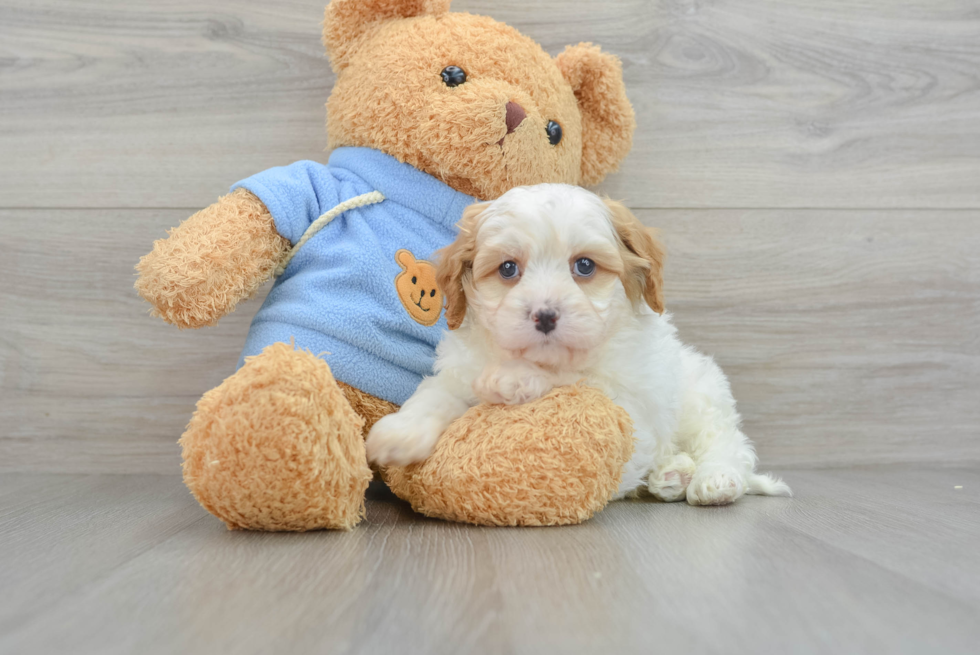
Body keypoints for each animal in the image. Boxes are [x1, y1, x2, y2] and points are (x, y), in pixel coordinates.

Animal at [368, 184, 788, 508]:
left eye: (584, 266)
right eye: (508, 269)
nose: (545, 315)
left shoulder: (628, 400)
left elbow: (573, 379)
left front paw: (514, 379)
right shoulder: (459, 371)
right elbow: (435, 395)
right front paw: (399, 433)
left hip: (702, 396)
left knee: (726, 443)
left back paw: (714, 480)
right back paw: (670, 475)